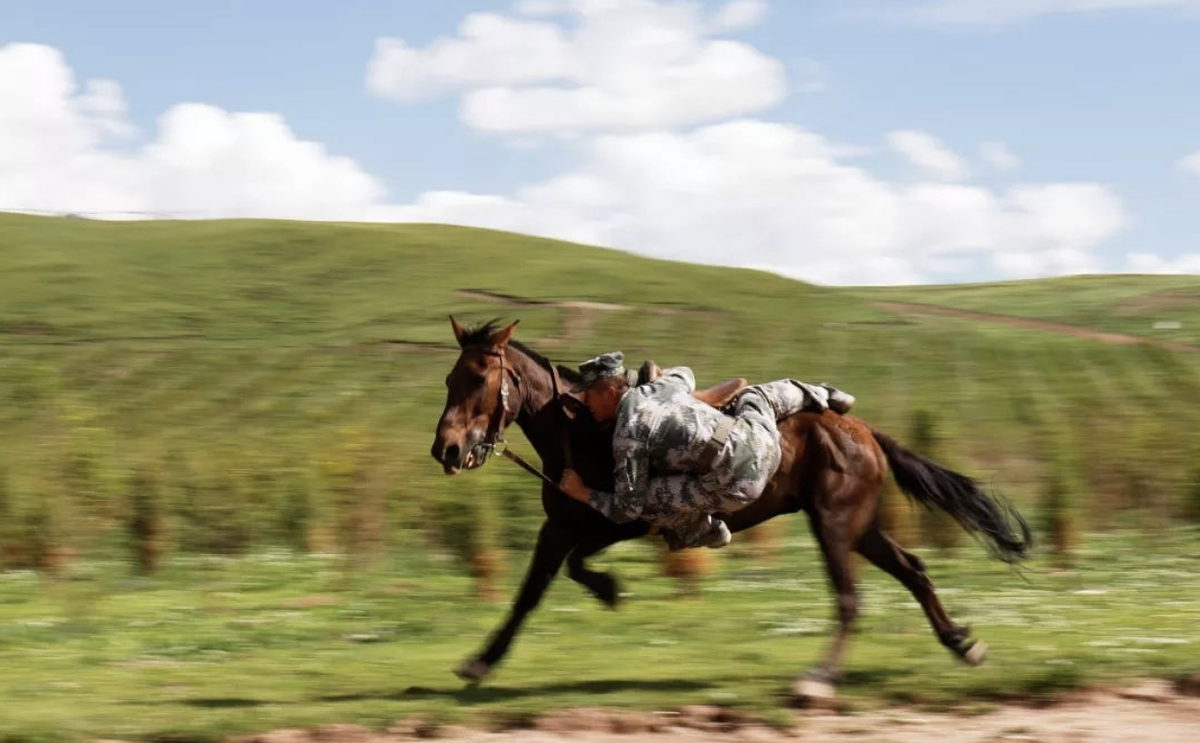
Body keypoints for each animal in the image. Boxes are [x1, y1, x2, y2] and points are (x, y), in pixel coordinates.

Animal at [432, 316, 1032, 700]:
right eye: (448, 378)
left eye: (479, 378)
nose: (448, 450)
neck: (583, 434)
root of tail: (864, 431)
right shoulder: (556, 528)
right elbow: (528, 596)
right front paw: (480, 661)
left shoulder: (628, 518)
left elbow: (581, 564)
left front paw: (609, 590)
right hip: (860, 527)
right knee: (913, 569)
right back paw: (961, 644)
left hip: (834, 524)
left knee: (850, 597)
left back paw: (819, 679)